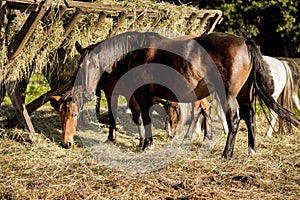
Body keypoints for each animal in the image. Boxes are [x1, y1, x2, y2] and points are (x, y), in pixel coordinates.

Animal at [75, 30, 300, 158]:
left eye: (92, 65)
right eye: (80, 65)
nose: (87, 94)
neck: (136, 51)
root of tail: (245, 42)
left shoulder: (141, 95)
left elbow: (145, 119)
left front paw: (147, 145)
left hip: (228, 95)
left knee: (235, 120)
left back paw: (227, 153)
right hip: (244, 95)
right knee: (250, 117)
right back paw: (251, 150)